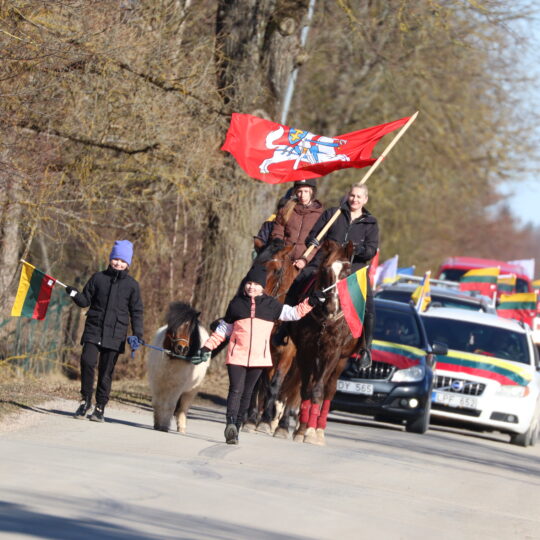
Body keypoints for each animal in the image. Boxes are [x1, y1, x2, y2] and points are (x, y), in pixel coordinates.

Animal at [147, 301, 210, 434]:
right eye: (173, 326)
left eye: (191, 329)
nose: (182, 348)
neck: (172, 358)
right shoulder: (157, 383)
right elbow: (157, 403)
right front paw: (157, 424)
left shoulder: (176, 387)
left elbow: (170, 406)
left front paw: (164, 426)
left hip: (190, 391)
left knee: (182, 408)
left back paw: (182, 428)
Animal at [288, 239, 360, 445]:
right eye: (326, 270)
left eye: (347, 272)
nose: (331, 307)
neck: (325, 319)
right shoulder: (305, 350)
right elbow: (306, 389)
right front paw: (301, 430)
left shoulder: (332, 352)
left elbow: (318, 390)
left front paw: (311, 432)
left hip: (341, 360)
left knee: (329, 390)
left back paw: (319, 430)